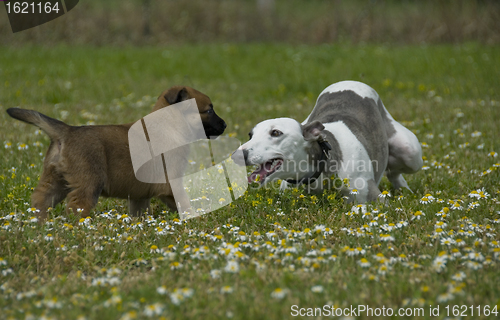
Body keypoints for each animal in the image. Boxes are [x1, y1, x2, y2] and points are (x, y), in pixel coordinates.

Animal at [6, 86, 226, 221]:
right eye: (209, 111)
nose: (225, 125)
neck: (170, 123)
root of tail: (67, 131)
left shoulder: (139, 195)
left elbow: (140, 212)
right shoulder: (171, 183)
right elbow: (184, 204)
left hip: (56, 181)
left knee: (41, 200)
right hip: (89, 182)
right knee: (75, 208)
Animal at [237, 81, 422, 204]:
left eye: (276, 132)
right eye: (250, 135)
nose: (237, 155)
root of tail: (352, 81)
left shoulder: (375, 200)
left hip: (410, 151)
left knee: (395, 170)